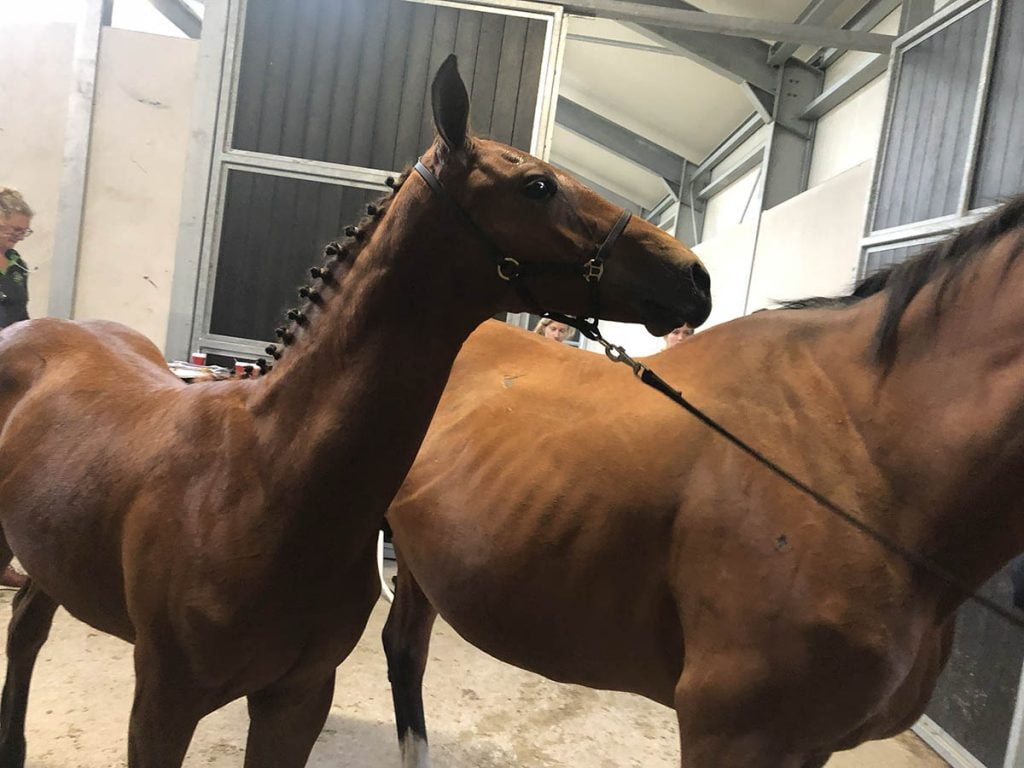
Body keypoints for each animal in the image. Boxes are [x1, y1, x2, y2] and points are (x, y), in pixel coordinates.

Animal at [0, 56, 711, 768]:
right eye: (537, 186)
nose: (695, 277)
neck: (262, 481)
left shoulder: (298, 700)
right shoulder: (163, 703)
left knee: (28, 622)